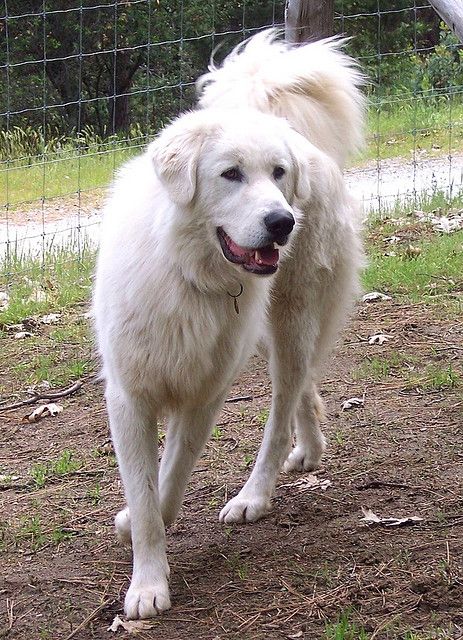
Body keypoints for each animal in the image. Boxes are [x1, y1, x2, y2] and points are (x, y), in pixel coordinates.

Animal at [93, 30, 366, 620]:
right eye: (231, 174)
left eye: (277, 174)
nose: (282, 222)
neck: (188, 274)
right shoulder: (130, 395)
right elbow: (144, 492)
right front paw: (146, 579)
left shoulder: (204, 394)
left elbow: (169, 480)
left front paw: (149, 572)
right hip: (265, 337)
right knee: (305, 389)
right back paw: (310, 451)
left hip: (289, 327)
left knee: (283, 408)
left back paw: (255, 495)